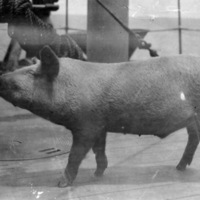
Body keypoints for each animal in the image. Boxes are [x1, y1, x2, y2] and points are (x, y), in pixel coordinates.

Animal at [0, 45, 200, 188]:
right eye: (28, 68)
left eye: (31, 73)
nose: (1, 77)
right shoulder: (99, 125)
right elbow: (99, 150)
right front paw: (97, 174)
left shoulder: (86, 125)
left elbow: (75, 154)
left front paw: (61, 184)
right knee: (193, 138)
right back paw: (179, 167)